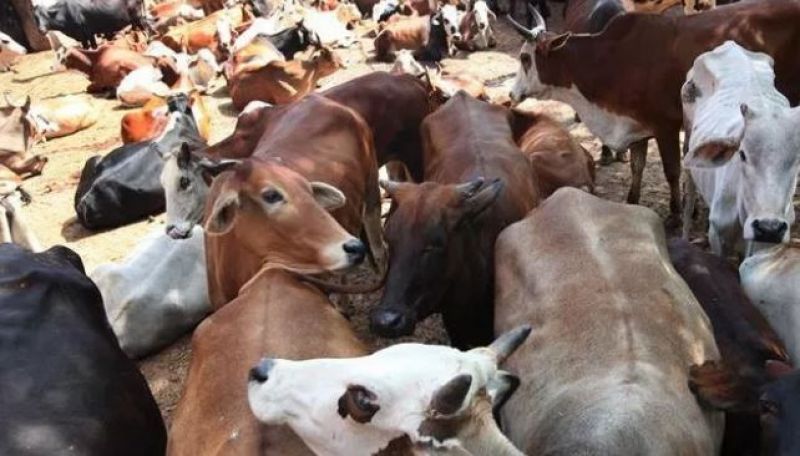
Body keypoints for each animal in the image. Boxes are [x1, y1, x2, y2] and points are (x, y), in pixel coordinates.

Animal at [508, 0, 800, 221]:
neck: (612, 59)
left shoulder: (666, 126)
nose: (511, 94)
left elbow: (671, 170)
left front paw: (676, 212)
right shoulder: (636, 123)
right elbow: (637, 166)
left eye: (525, 57)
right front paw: (632, 199)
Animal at [682, 41, 800, 258]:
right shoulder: (717, 236)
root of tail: (730, 45)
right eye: (742, 154)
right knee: (689, 199)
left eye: (798, 160)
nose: (769, 228)